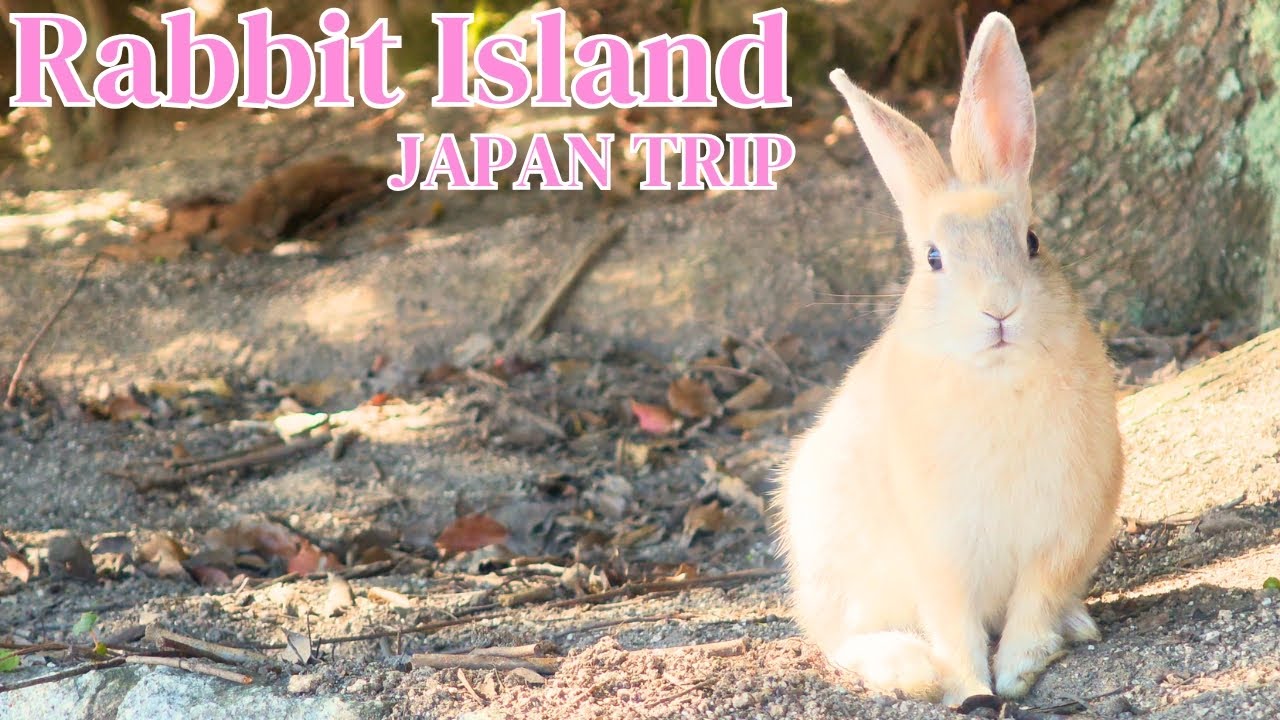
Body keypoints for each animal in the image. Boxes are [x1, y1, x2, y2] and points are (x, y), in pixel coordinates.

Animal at [775, 12, 1124, 706]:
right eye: (934, 259)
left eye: (1032, 242)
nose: (999, 310)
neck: (998, 382)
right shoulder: (937, 549)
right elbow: (952, 620)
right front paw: (969, 691)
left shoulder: (1061, 535)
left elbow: (1033, 604)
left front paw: (1015, 673)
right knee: (839, 638)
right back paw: (906, 668)